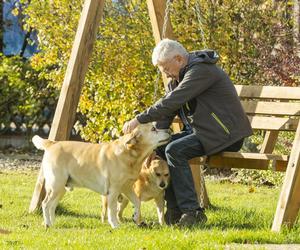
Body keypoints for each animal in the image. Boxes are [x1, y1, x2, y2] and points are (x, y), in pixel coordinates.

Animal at [32, 123, 170, 229]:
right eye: (153, 129)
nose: (169, 130)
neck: (130, 155)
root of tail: (52, 143)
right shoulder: (113, 190)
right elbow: (113, 209)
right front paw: (115, 225)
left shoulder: (127, 188)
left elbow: (137, 202)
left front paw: (136, 217)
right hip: (56, 185)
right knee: (45, 204)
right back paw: (48, 224)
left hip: (61, 188)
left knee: (52, 206)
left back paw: (52, 223)